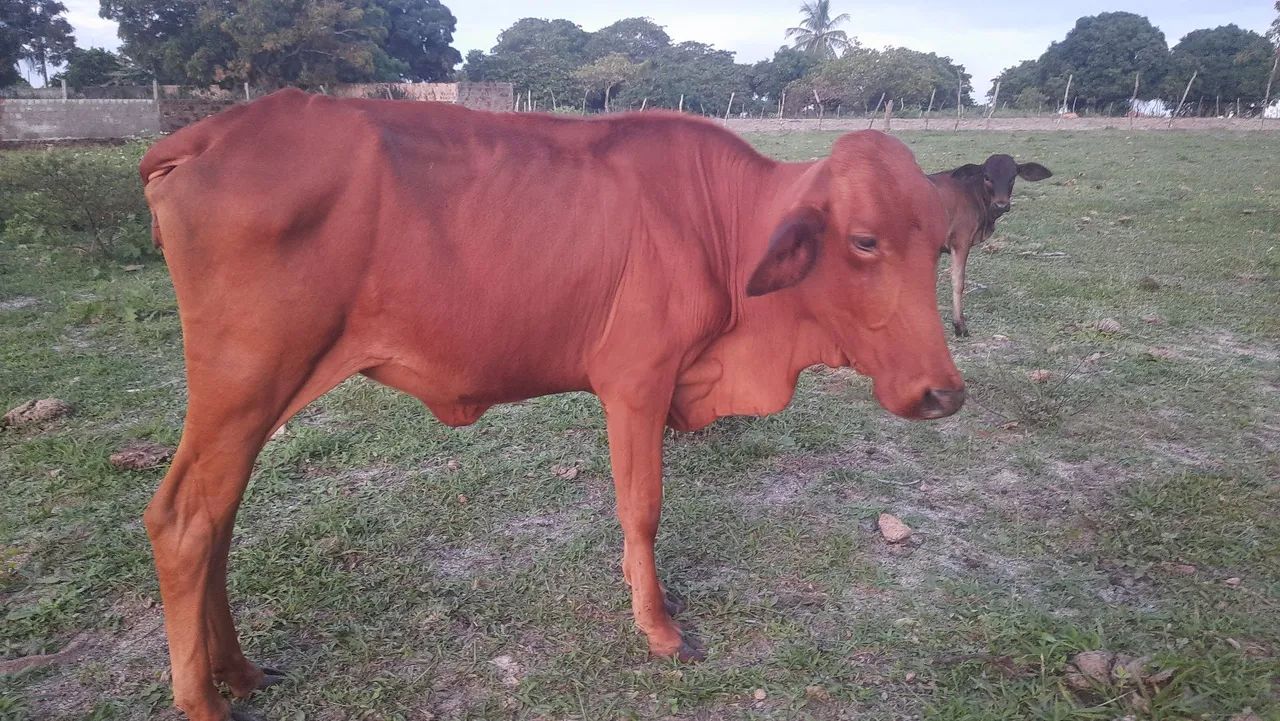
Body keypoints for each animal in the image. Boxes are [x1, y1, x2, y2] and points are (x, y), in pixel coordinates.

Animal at [139, 88, 965, 721]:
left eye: (937, 243)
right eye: (864, 240)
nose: (944, 392)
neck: (721, 228)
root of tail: (203, 134)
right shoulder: (636, 381)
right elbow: (641, 506)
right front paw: (658, 626)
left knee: (218, 519)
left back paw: (239, 671)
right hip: (244, 378)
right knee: (184, 520)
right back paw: (206, 699)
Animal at [928, 154, 1052, 336]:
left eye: (1013, 177)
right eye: (987, 177)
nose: (1001, 204)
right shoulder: (961, 241)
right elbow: (958, 282)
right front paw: (959, 326)